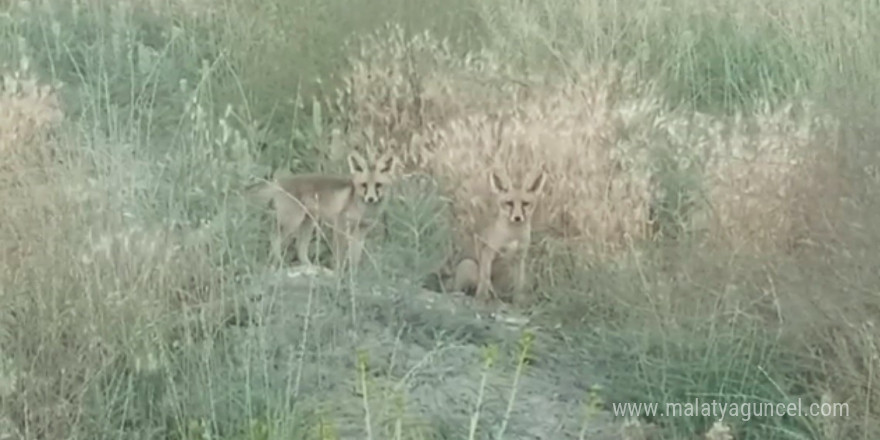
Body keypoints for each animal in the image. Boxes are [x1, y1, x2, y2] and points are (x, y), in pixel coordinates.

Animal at [249, 150, 398, 270]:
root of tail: (280, 182)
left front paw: (354, 276)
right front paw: (338, 274)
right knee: (274, 238)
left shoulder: (361, 232)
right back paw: (279, 263)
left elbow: (355, 257)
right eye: (364, 185)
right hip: (292, 221)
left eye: (378, 185)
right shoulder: (340, 225)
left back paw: (311, 268)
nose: (371, 199)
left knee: (299, 247)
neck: (363, 208)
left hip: (308, 222)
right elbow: (340, 255)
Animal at [450, 167, 548, 304]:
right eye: (509, 203)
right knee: (459, 289)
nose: (517, 218)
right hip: (468, 265)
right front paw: (481, 298)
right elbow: (485, 279)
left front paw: (518, 302)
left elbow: (519, 284)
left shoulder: (520, 257)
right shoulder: (488, 252)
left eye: (525, 204)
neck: (513, 236)